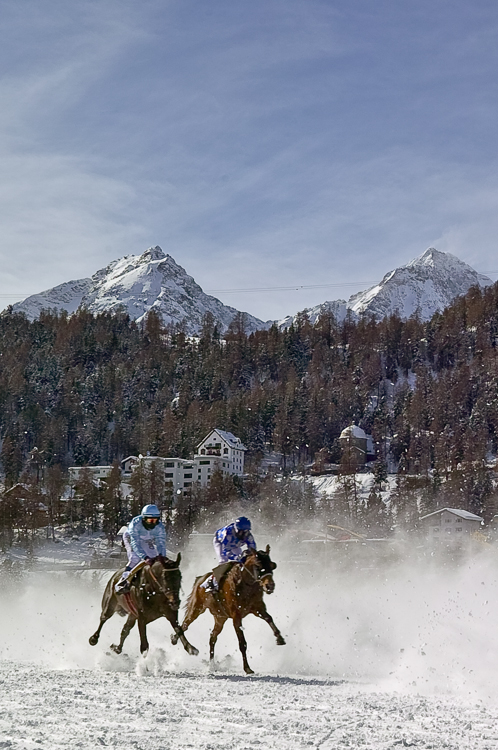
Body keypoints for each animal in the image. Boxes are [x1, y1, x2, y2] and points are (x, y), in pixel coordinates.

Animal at [171, 548, 286, 676]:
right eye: (258, 566)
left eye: (271, 565)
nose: (269, 586)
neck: (244, 585)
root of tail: (200, 579)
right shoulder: (236, 616)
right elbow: (242, 643)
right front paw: (247, 668)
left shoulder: (258, 608)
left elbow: (269, 618)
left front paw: (279, 638)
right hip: (196, 608)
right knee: (185, 624)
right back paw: (175, 639)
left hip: (220, 618)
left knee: (212, 637)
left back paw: (212, 664)